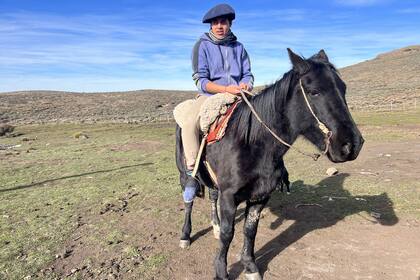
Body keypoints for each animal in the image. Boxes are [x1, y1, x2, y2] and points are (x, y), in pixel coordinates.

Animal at [175, 49, 364, 278]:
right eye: (314, 92)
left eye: (343, 88)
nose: (352, 145)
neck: (252, 143)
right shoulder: (229, 196)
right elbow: (229, 234)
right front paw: (221, 271)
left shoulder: (260, 195)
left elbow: (250, 230)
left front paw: (250, 266)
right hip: (185, 175)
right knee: (189, 202)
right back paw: (186, 236)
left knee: (212, 196)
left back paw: (215, 226)